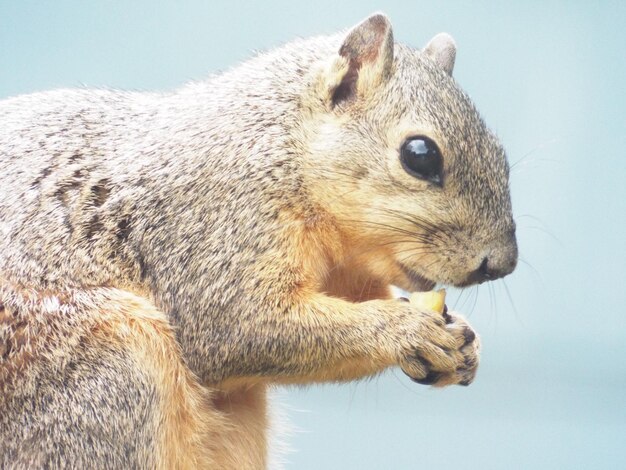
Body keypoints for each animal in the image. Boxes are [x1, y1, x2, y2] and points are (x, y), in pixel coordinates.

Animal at [0, 12, 516, 468]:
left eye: (502, 155)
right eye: (420, 155)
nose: (501, 263)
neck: (282, 151)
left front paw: (464, 339)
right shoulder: (211, 228)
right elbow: (241, 326)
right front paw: (406, 329)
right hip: (108, 368)